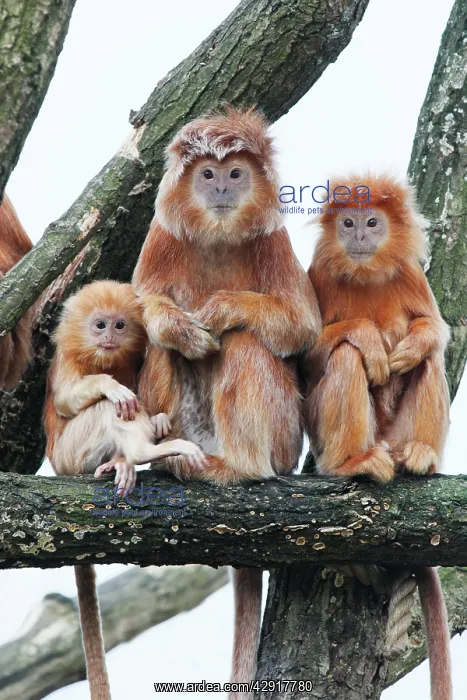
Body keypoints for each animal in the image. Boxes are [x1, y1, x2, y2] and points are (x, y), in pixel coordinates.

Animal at [44, 280, 207, 700]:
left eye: (120, 325)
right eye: (99, 324)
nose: (109, 338)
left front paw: (161, 419)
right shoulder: (67, 360)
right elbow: (68, 400)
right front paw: (108, 385)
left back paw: (125, 460)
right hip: (70, 456)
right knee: (108, 408)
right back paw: (139, 451)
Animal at [132, 107, 321, 697]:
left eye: (236, 173)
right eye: (209, 173)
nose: (220, 186)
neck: (216, 237)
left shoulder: (272, 238)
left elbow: (301, 328)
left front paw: (218, 310)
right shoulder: (161, 236)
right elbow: (146, 310)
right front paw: (182, 327)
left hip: (283, 438)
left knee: (245, 342)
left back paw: (237, 468)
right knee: (161, 345)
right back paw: (172, 455)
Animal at [304, 174, 451, 700]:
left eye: (372, 221)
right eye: (348, 223)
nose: (360, 235)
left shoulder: (410, 276)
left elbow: (435, 331)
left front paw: (412, 344)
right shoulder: (318, 277)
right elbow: (314, 350)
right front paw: (370, 339)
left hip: (399, 432)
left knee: (430, 362)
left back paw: (422, 455)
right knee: (345, 356)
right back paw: (353, 462)